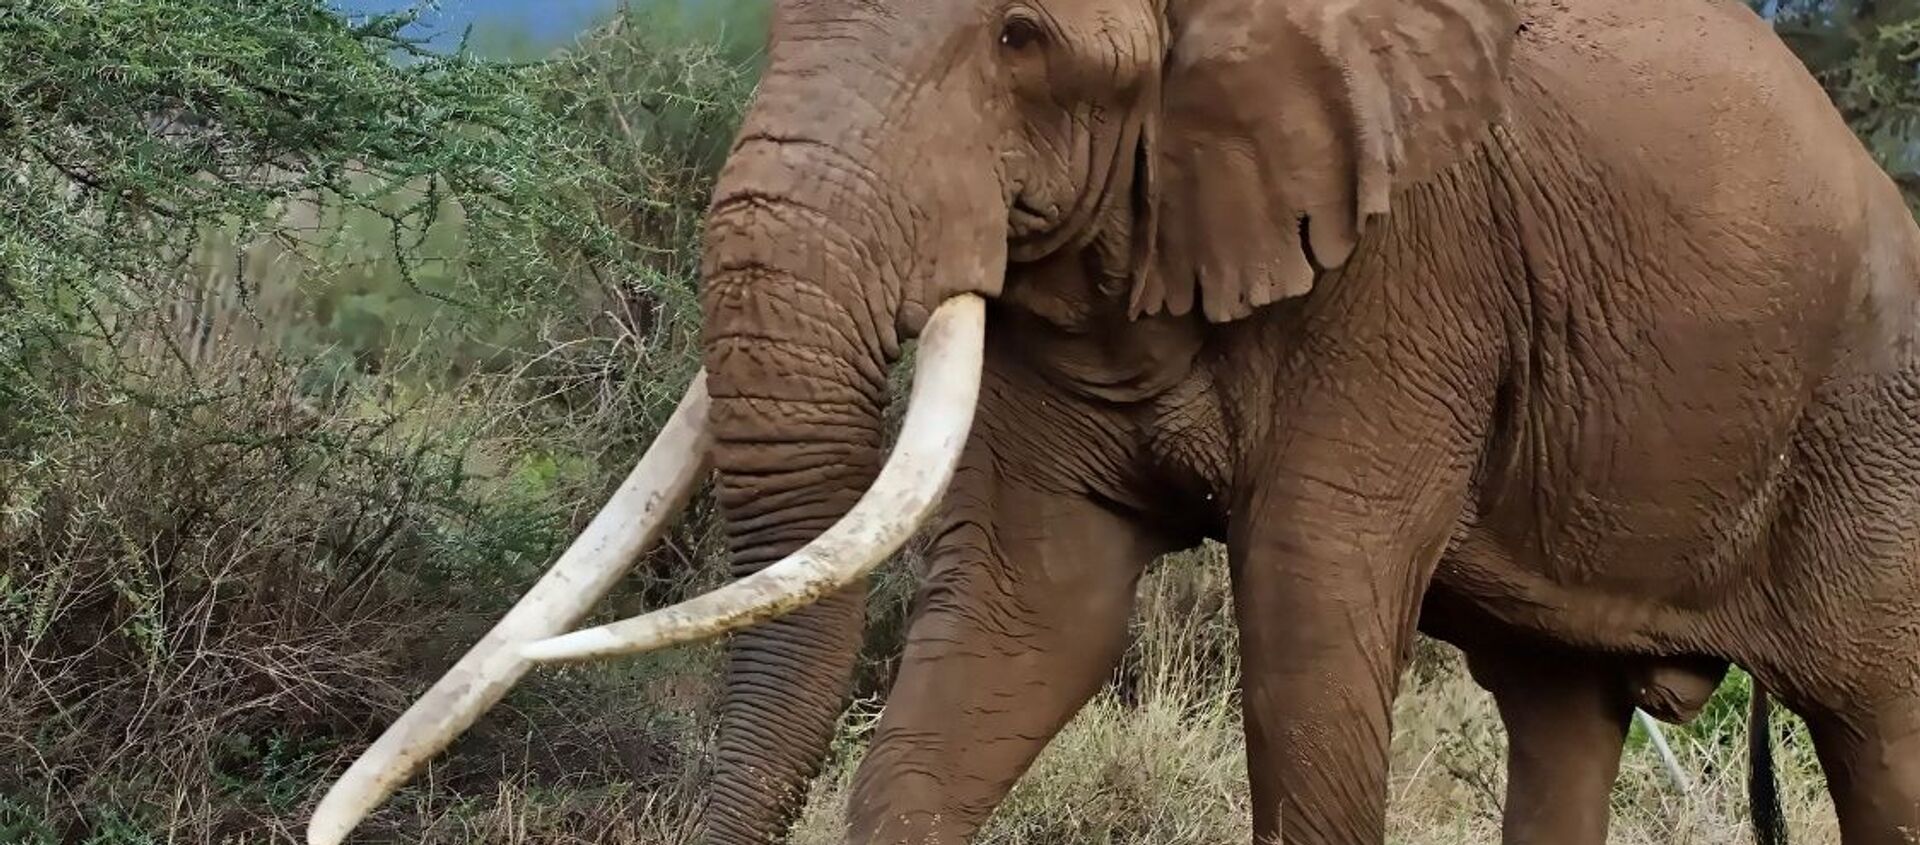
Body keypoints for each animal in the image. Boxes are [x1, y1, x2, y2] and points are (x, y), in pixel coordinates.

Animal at [305, 0, 1920, 842]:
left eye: (1023, 35)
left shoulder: (1417, 264)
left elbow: (1310, 607)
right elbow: (1034, 616)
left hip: (1875, 431)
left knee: (1882, 727)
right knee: (1560, 709)